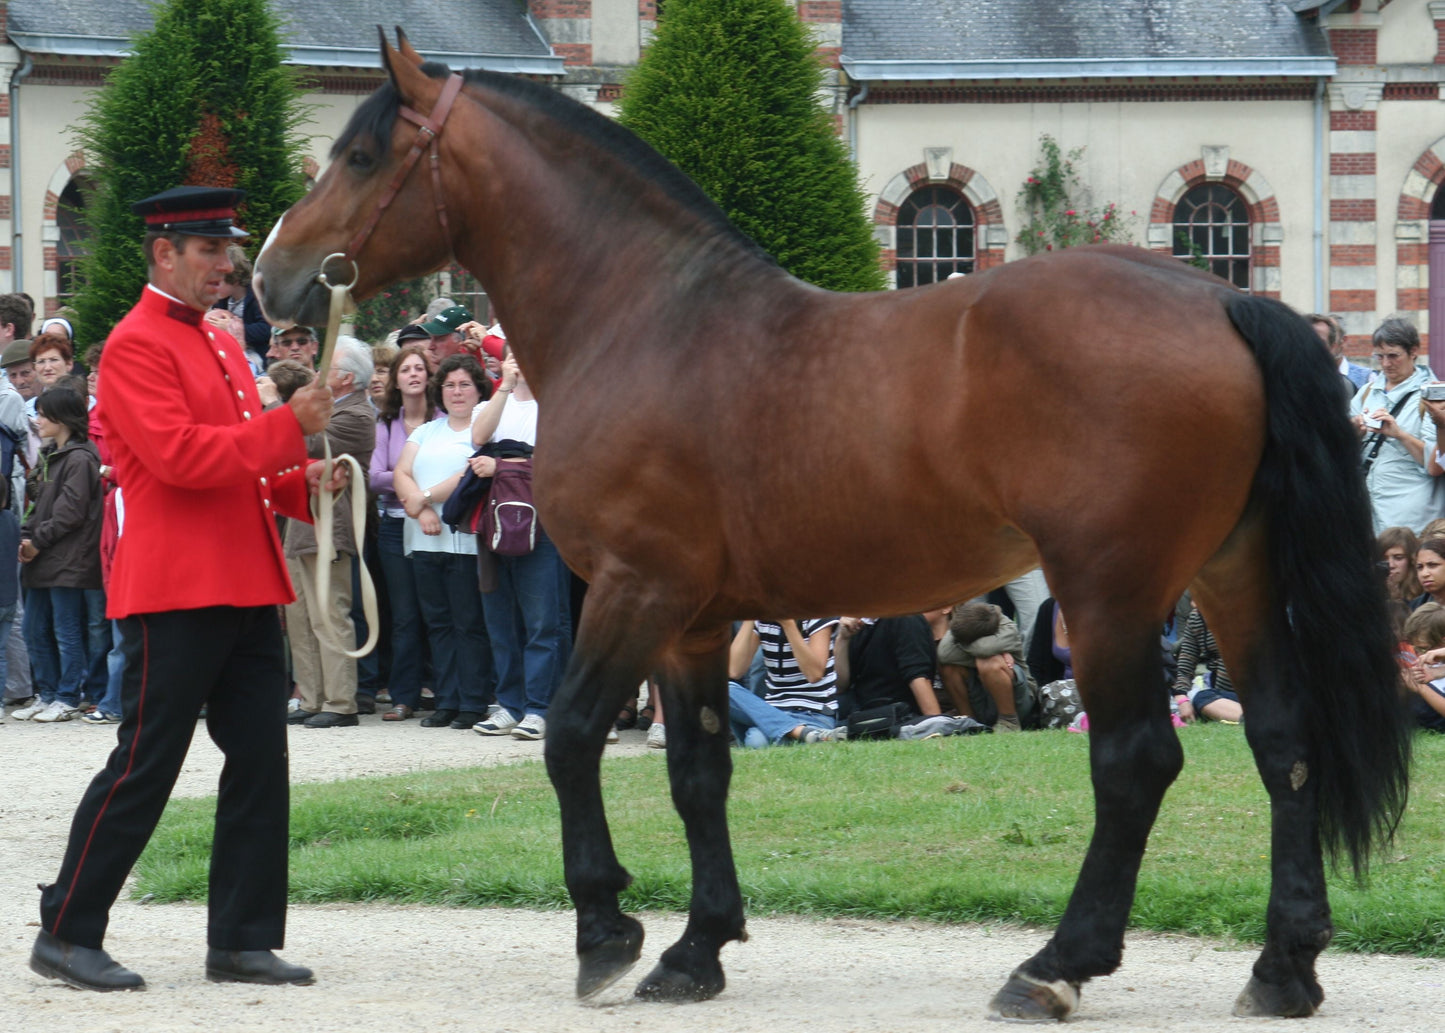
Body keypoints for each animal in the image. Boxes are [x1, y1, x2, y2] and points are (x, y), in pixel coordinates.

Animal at [254, 28, 1404, 1022]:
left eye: (362, 154)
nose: (272, 277)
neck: (641, 320)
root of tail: (1218, 301)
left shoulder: (632, 588)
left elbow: (573, 736)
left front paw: (605, 932)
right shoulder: (688, 620)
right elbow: (697, 770)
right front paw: (695, 947)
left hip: (1110, 591)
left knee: (1133, 761)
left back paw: (1053, 966)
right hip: (1231, 573)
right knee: (1282, 742)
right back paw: (1282, 965)